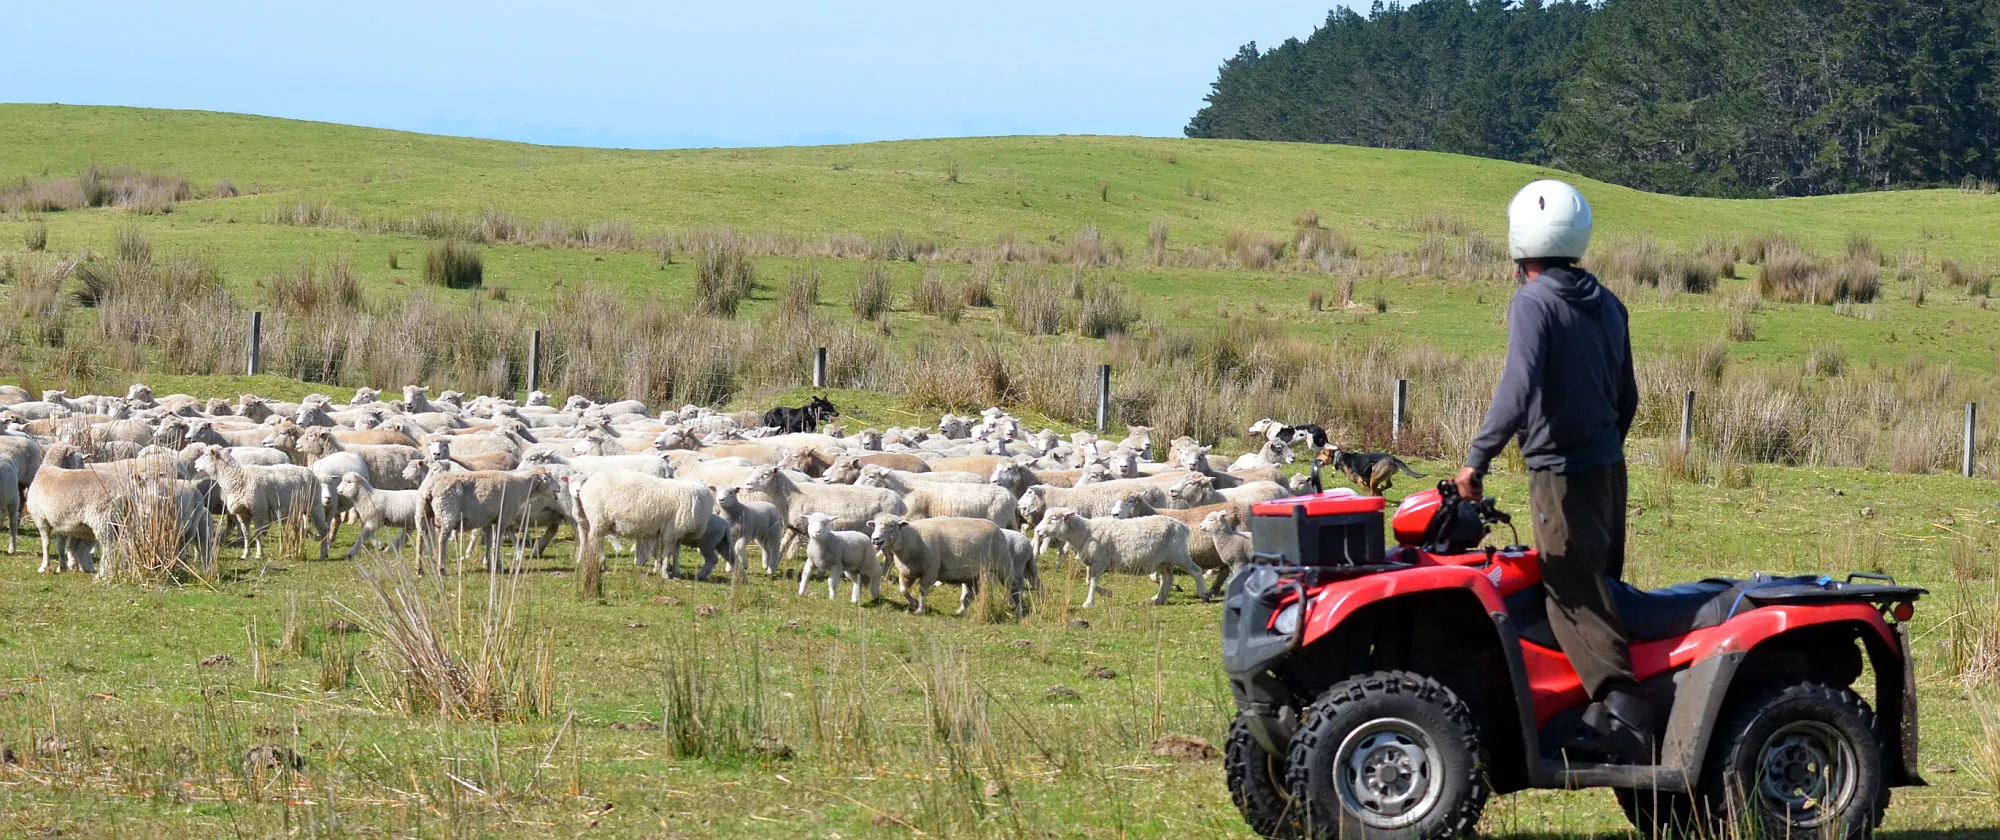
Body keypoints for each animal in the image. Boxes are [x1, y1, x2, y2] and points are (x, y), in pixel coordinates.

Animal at [568, 470, 716, 580]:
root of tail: (587, 485)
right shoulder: (672, 531)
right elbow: (668, 553)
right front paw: (665, 573)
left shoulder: (678, 534)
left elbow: (676, 554)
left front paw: (676, 572)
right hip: (598, 518)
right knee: (595, 541)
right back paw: (598, 563)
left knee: (595, 540)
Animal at [856, 462, 1024, 528]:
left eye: (871, 476)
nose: (854, 487)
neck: (903, 491)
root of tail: (1010, 497)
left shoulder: (914, 517)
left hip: (999, 519)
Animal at [1032, 506, 1200, 604]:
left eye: (1053, 519)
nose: (1037, 531)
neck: (1085, 532)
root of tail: (1182, 526)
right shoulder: (1091, 562)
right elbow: (1088, 581)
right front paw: (1108, 593)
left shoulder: (1099, 561)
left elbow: (1092, 583)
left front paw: (1088, 603)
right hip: (1164, 561)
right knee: (1168, 578)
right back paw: (1159, 599)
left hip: (1179, 555)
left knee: (1196, 571)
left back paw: (1202, 594)